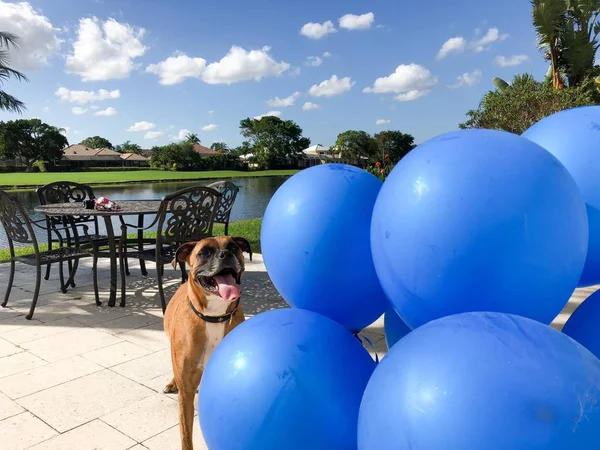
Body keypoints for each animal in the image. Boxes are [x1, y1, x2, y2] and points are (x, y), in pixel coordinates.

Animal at [162, 236, 251, 450]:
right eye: (204, 252)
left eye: (233, 247)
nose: (225, 254)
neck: (214, 316)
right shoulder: (186, 393)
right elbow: (186, 436)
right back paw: (172, 383)